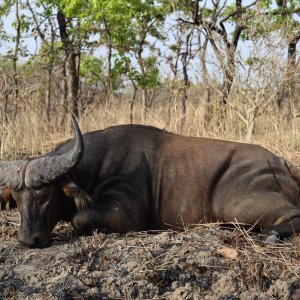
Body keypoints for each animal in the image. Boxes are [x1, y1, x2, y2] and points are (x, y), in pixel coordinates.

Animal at [0, 116, 298, 247]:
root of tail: (282, 163)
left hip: (233, 206)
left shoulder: (125, 215)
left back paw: (272, 235)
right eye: (17, 198)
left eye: (44, 195)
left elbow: (79, 218)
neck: (91, 169)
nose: (27, 240)